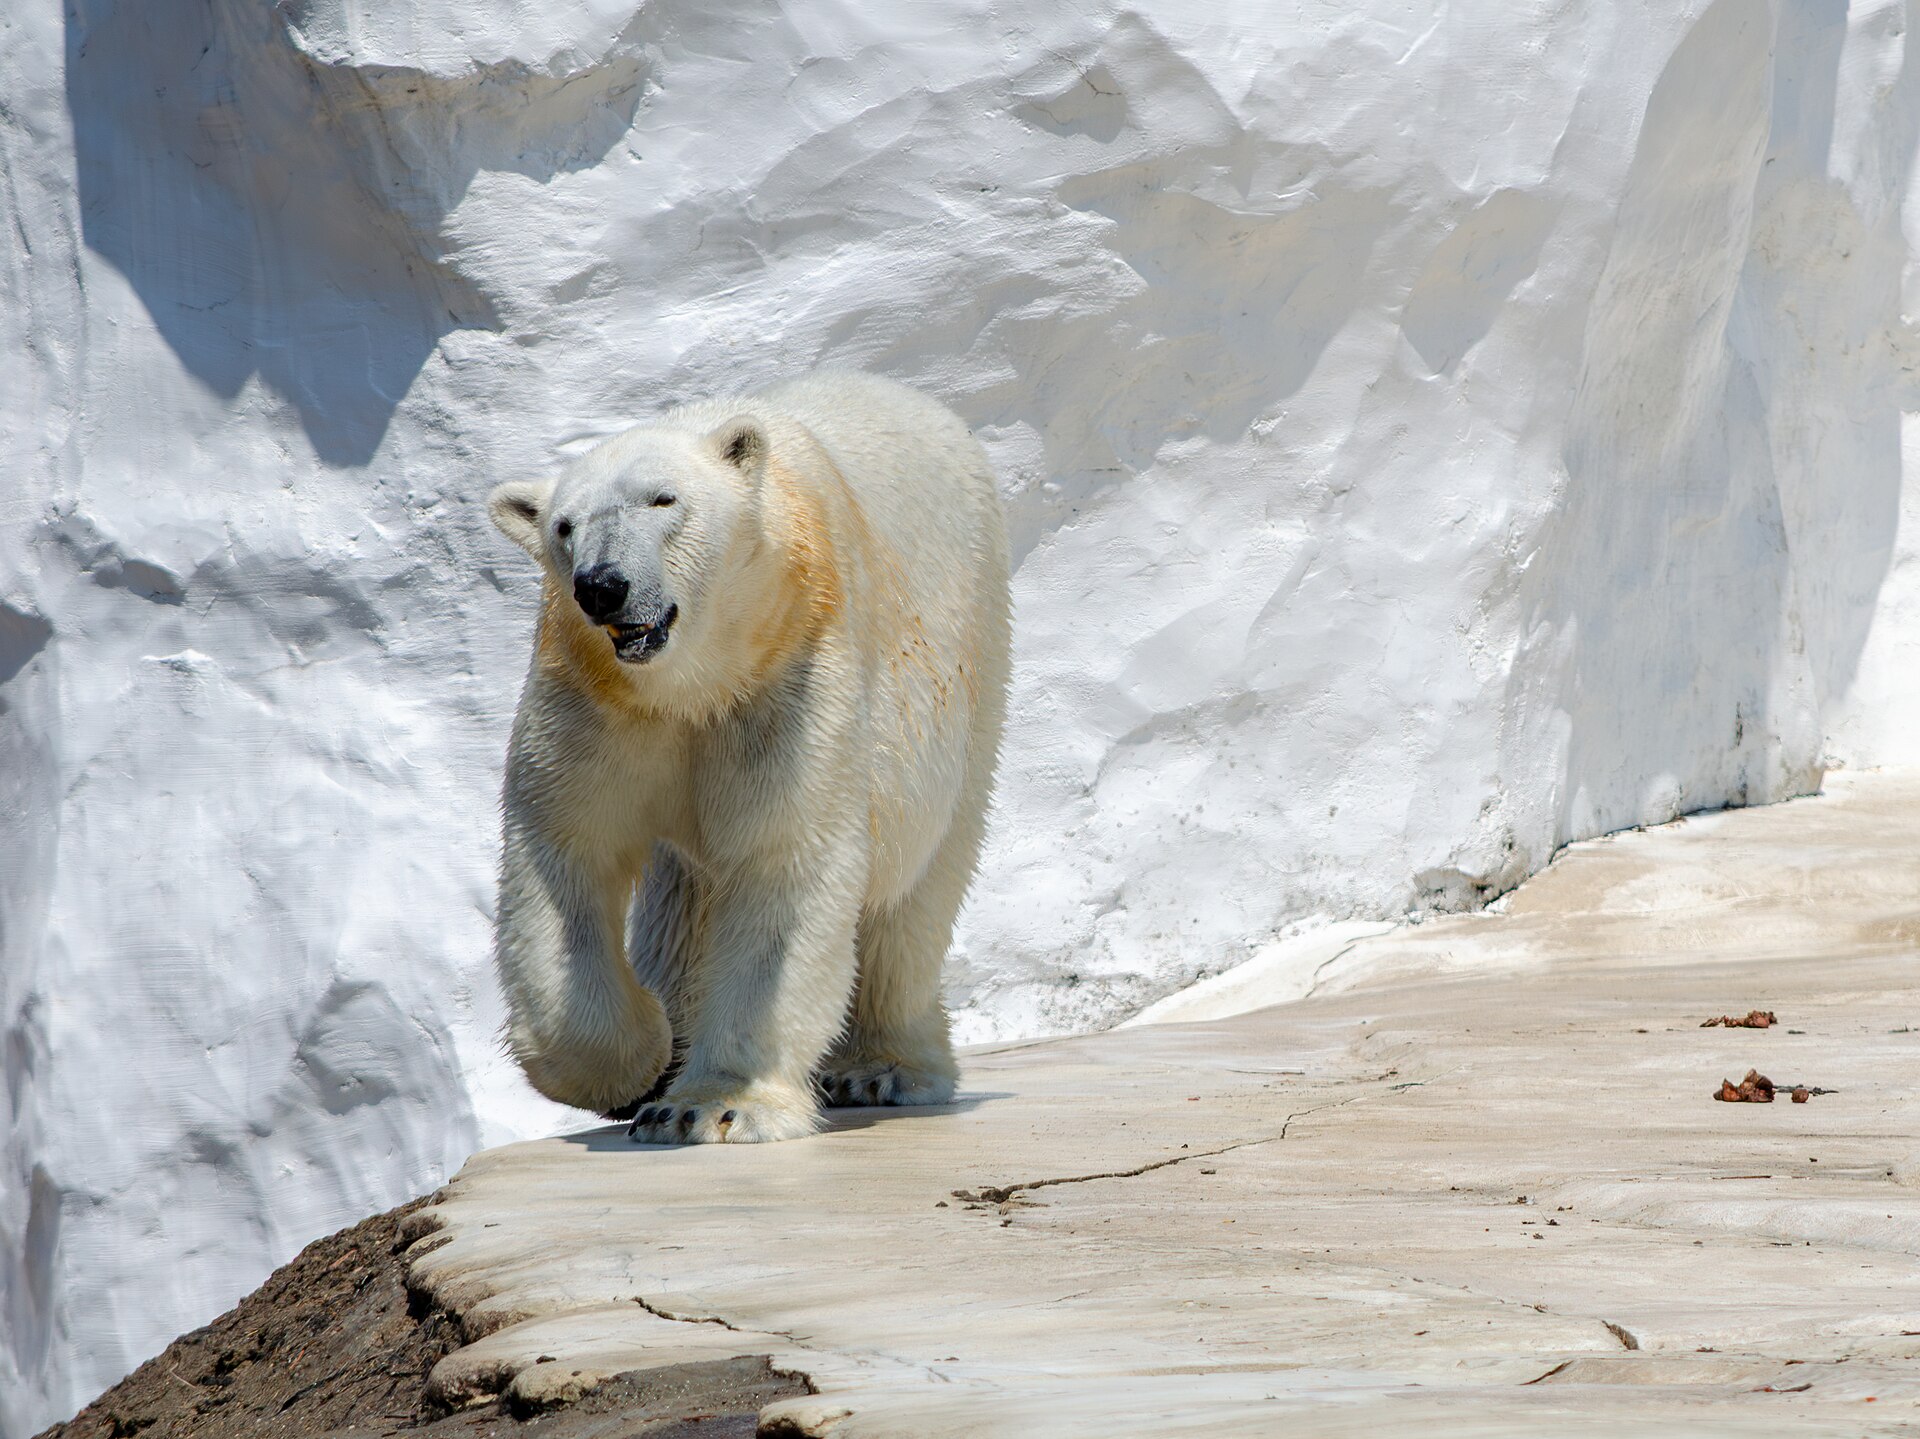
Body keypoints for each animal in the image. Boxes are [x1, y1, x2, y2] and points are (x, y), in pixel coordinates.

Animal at [485, 372, 1010, 1144]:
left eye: (663, 499)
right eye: (564, 526)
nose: (601, 586)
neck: (695, 678)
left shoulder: (789, 683)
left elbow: (781, 861)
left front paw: (709, 1105)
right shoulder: (599, 703)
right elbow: (567, 850)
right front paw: (639, 1062)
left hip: (972, 657)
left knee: (920, 881)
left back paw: (881, 1066)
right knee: (682, 899)